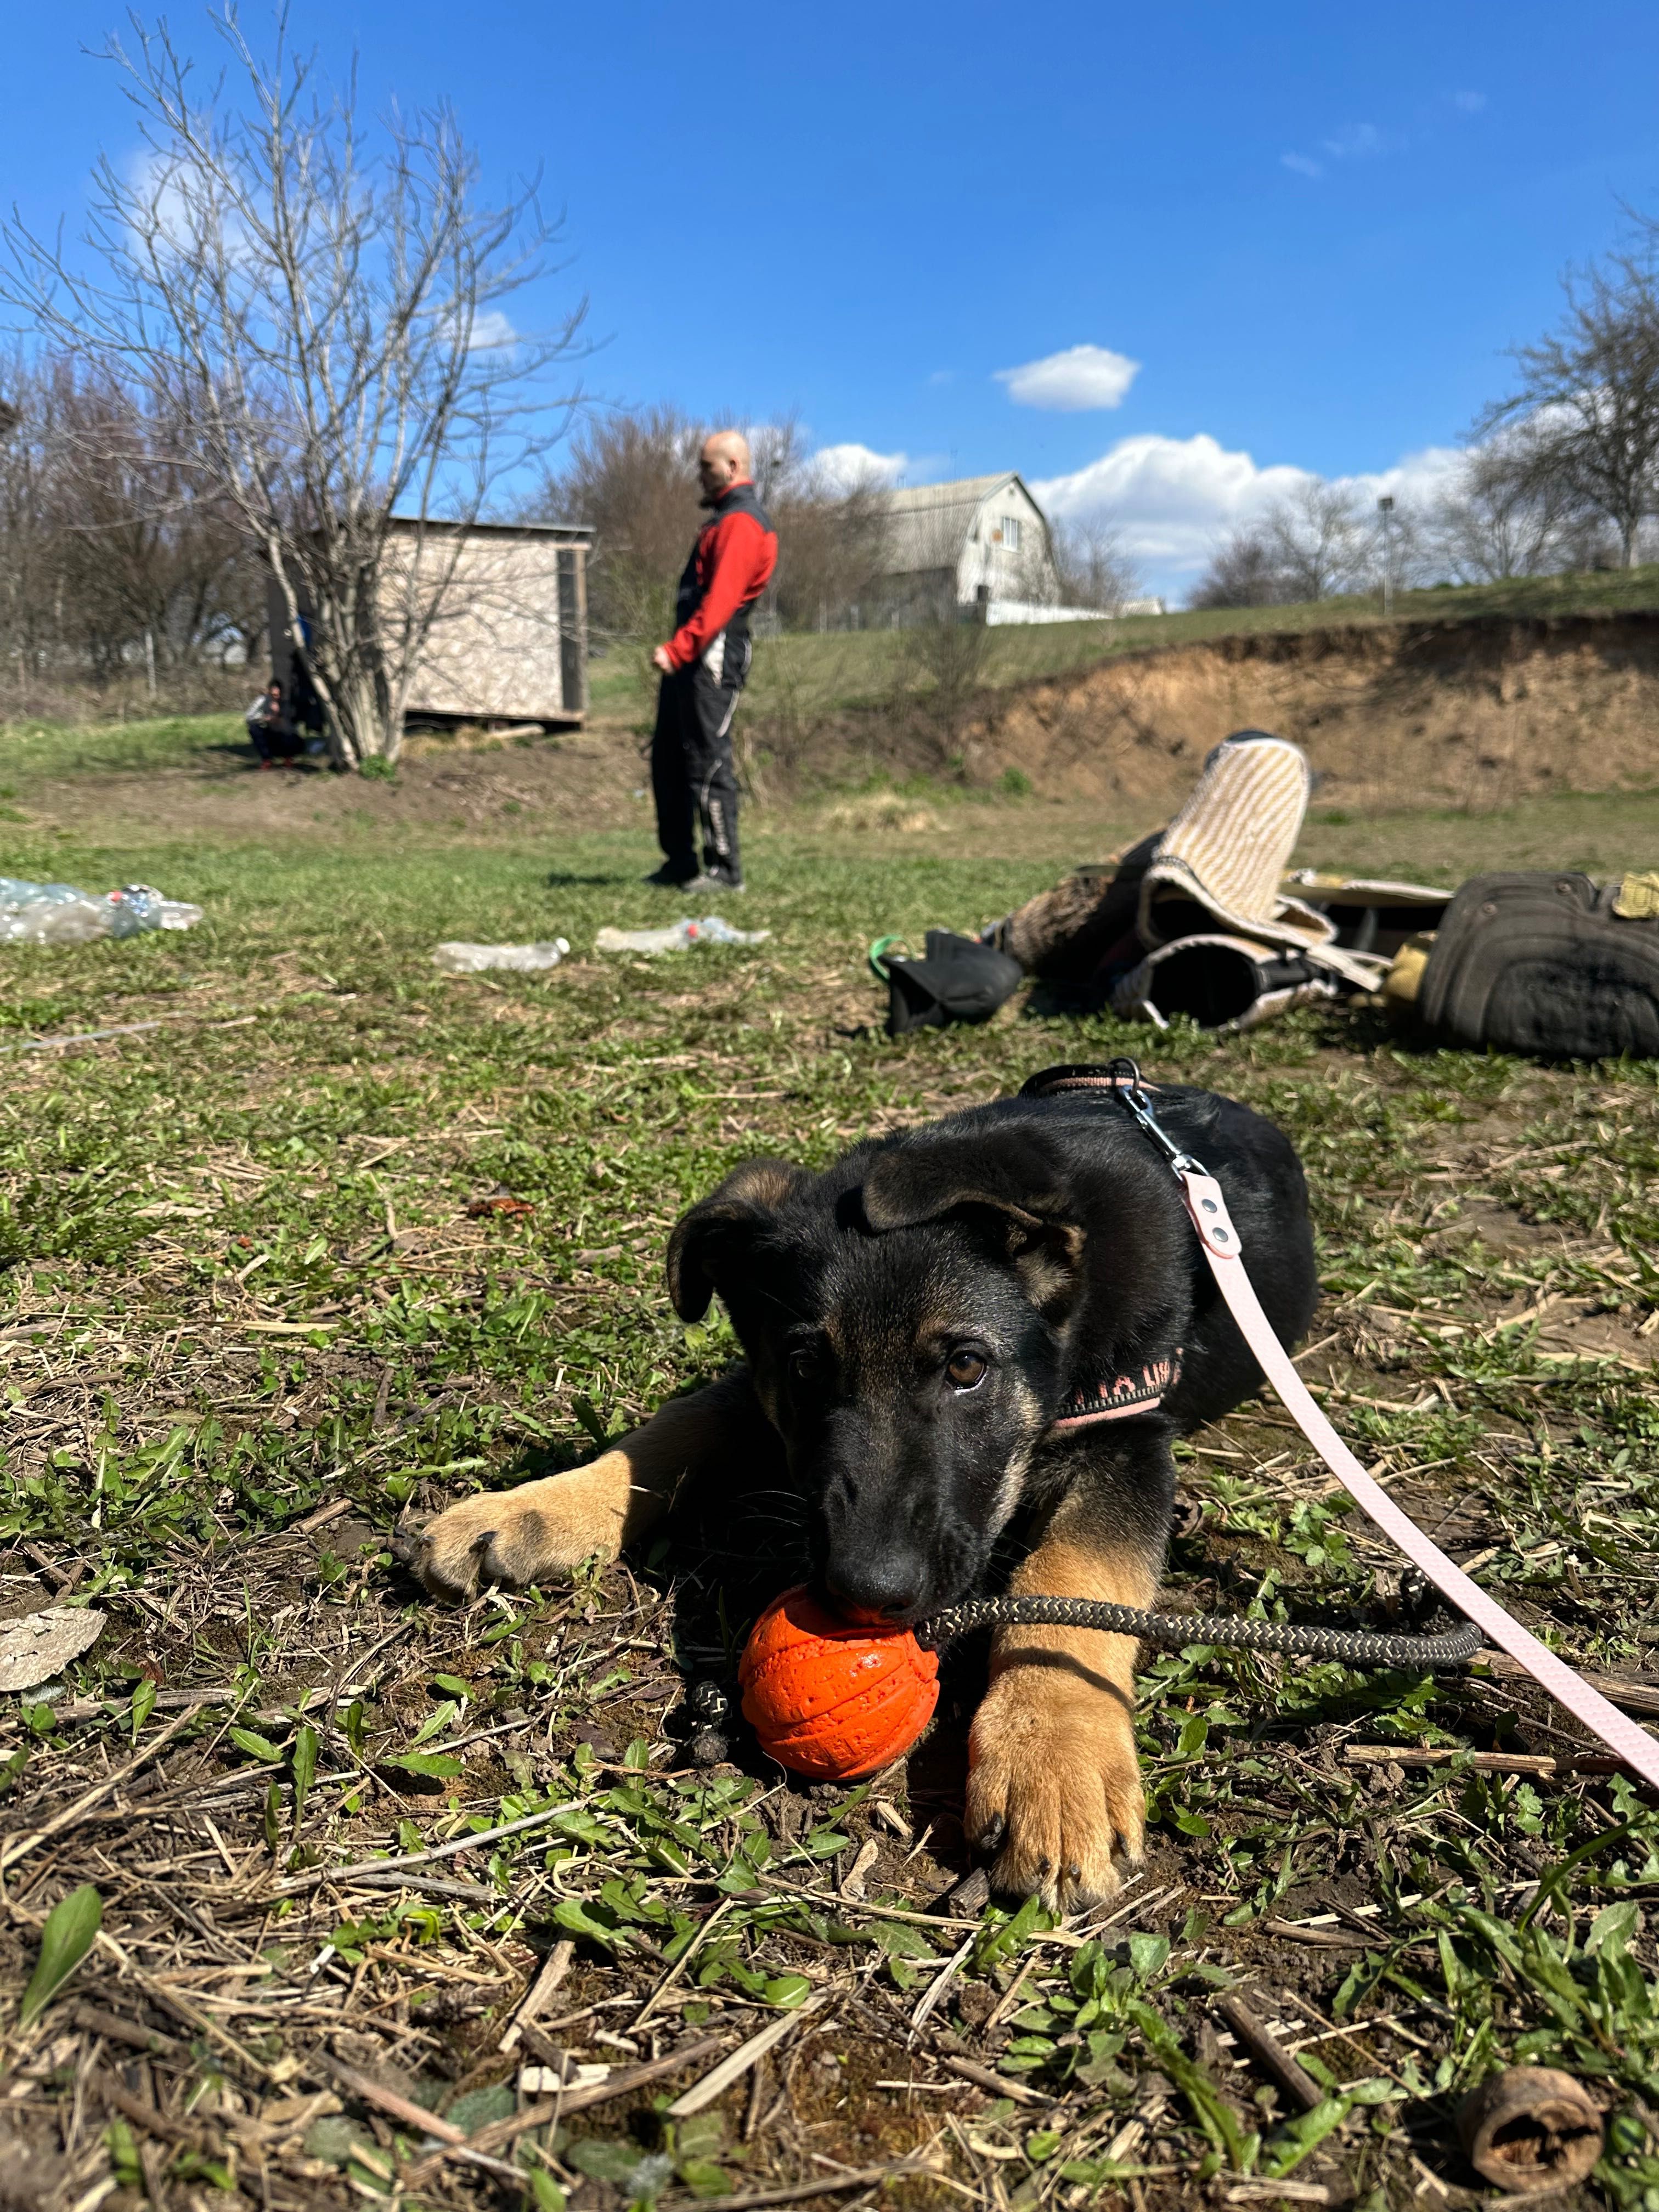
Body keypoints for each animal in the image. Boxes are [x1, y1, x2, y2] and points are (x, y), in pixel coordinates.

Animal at [418, 1070, 1327, 1902]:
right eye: (804, 1368)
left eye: (967, 1367)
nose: (867, 1594)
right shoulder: (755, 1391)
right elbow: (668, 1433)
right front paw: (530, 1508)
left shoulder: (1131, 1438)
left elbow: (1075, 1576)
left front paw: (1054, 1759)